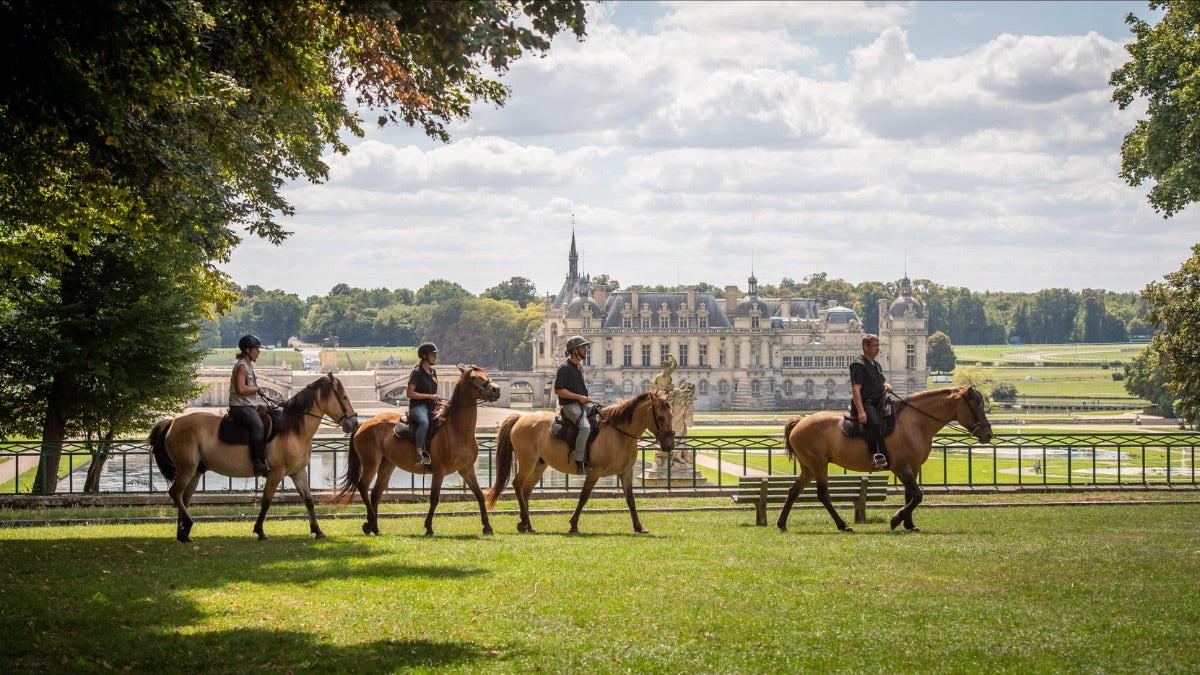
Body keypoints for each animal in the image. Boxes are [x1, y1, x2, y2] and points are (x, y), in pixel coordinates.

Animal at [148, 369, 357, 538]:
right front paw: (260, 531)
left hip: (196, 471)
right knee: (175, 493)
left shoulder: (298, 472)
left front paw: (317, 530)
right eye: (344, 397)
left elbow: (309, 500)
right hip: (187, 469)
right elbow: (266, 501)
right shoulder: (275, 473)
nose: (354, 423)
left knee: (184, 497)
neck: (293, 430)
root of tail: (173, 422)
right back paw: (187, 526)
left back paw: (183, 533)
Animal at [338, 362, 501, 535]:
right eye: (474, 377)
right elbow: (434, 498)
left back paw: (374, 526)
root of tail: (363, 424)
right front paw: (428, 526)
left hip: (387, 464)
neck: (456, 429)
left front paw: (487, 526)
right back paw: (370, 523)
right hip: (371, 463)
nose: (496, 389)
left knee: (376, 493)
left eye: (485, 374)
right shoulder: (439, 470)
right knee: (363, 487)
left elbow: (479, 494)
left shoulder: (467, 469)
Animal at [484, 391, 676, 533]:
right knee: (517, 484)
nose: (670, 445)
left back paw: (527, 524)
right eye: (660, 417)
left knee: (526, 490)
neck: (618, 434)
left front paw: (638, 526)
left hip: (539, 464)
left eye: (672, 415)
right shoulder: (594, 472)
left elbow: (630, 499)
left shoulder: (626, 473)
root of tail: (521, 418)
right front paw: (574, 524)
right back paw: (524, 521)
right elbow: (584, 496)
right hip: (527, 462)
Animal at [777, 386, 993, 533]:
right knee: (823, 495)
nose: (989, 435)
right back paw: (842, 525)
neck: (914, 422)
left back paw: (782, 524)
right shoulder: (901, 467)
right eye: (975, 406)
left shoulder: (913, 467)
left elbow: (910, 495)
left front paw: (909, 524)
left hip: (809, 467)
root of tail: (799, 422)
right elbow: (918, 495)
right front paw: (896, 519)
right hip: (819, 465)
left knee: (794, 491)